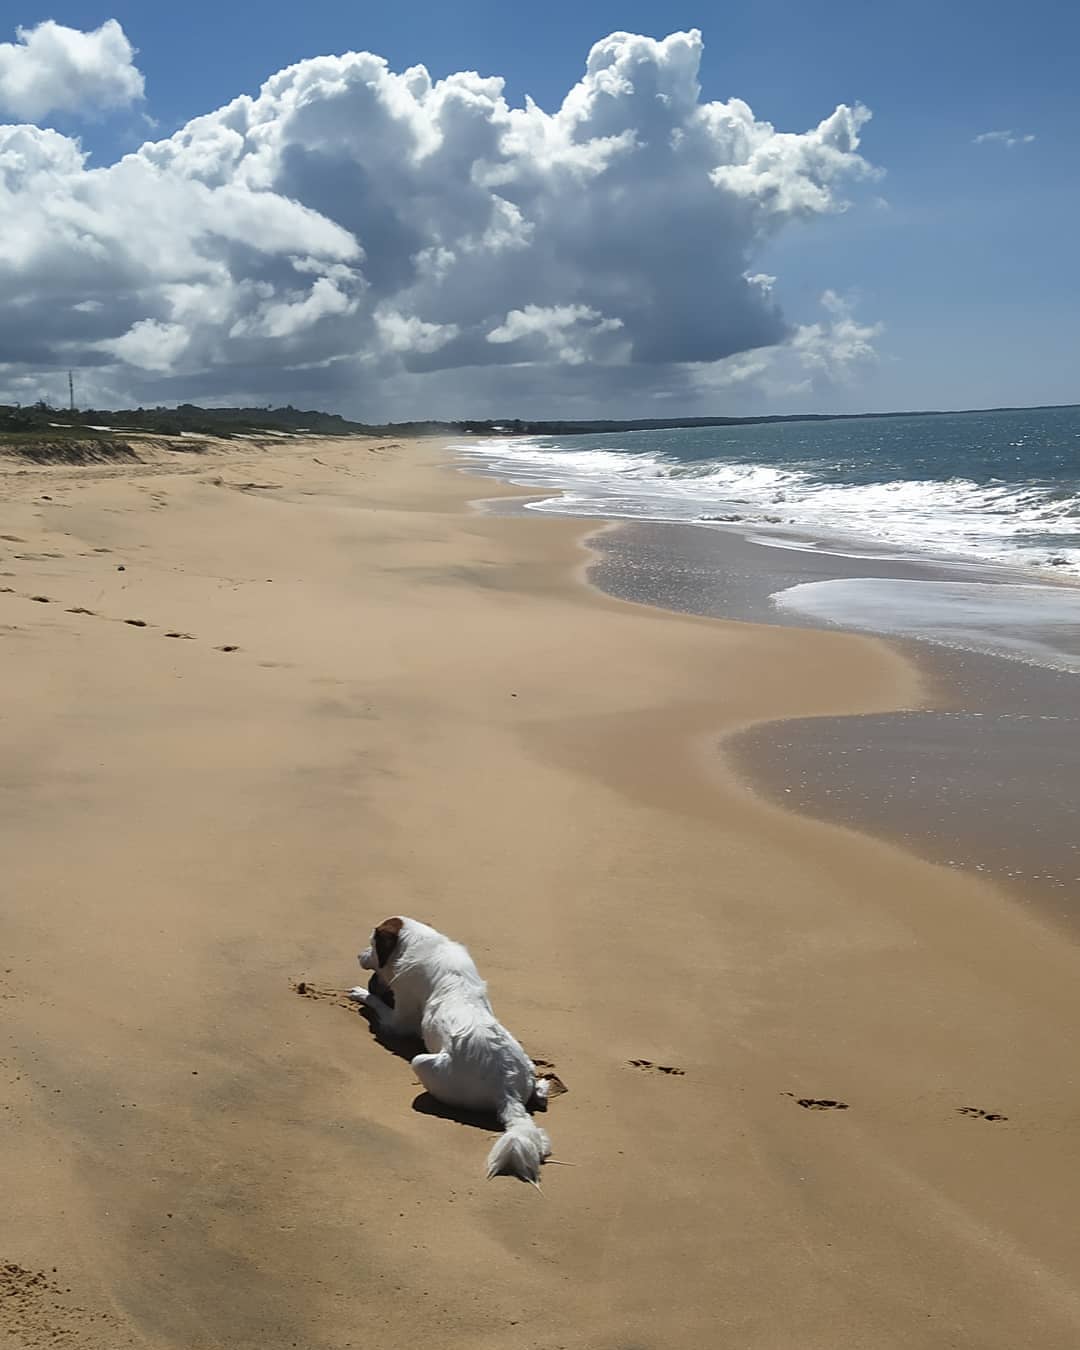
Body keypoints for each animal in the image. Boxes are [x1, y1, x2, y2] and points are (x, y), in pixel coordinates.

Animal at [351, 918, 553, 1182]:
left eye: (372, 944)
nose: (358, 955)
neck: (421, 942)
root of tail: (507, 1091)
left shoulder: (398, 1019)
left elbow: (378, 1005)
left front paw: (361, 993)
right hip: (526, 1063)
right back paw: (541, 1089)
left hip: (421, 1062)